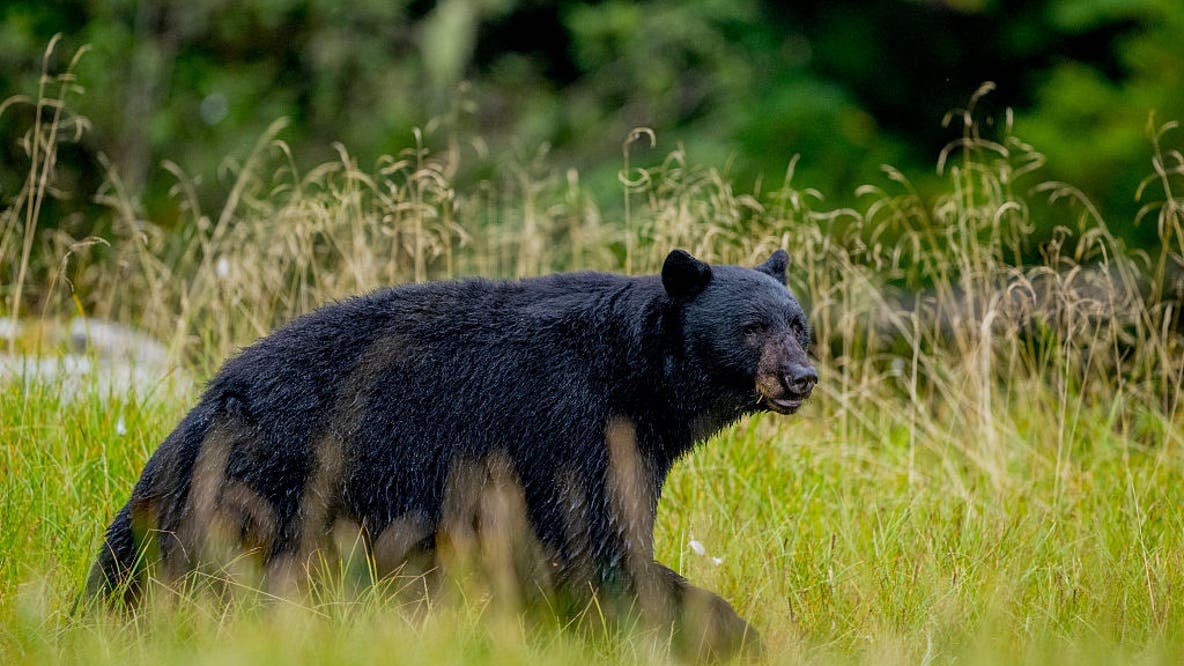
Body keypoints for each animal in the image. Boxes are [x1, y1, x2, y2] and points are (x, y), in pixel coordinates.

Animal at [85, 248, 816, 659]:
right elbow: (591, 545)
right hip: (275, 481)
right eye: (752, 328)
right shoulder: (569, 423)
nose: (801, 377)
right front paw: (725, 634)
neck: (638, 377)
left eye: (799, 324)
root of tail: (209, 403)